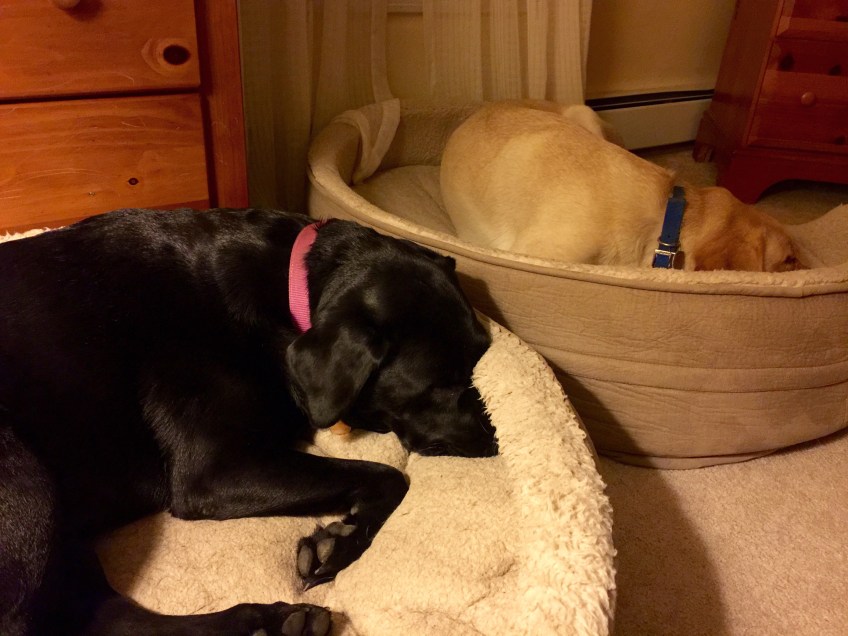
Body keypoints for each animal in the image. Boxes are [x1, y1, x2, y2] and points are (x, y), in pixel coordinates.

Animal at [0, 207, 497, 636]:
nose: (498, 436)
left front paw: (342, 540)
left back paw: (274, 623)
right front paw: (341, 542)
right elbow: (390, 476)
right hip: (29, 486)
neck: (291, 291)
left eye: (481, 357)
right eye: (441, 383)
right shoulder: (216, 470)